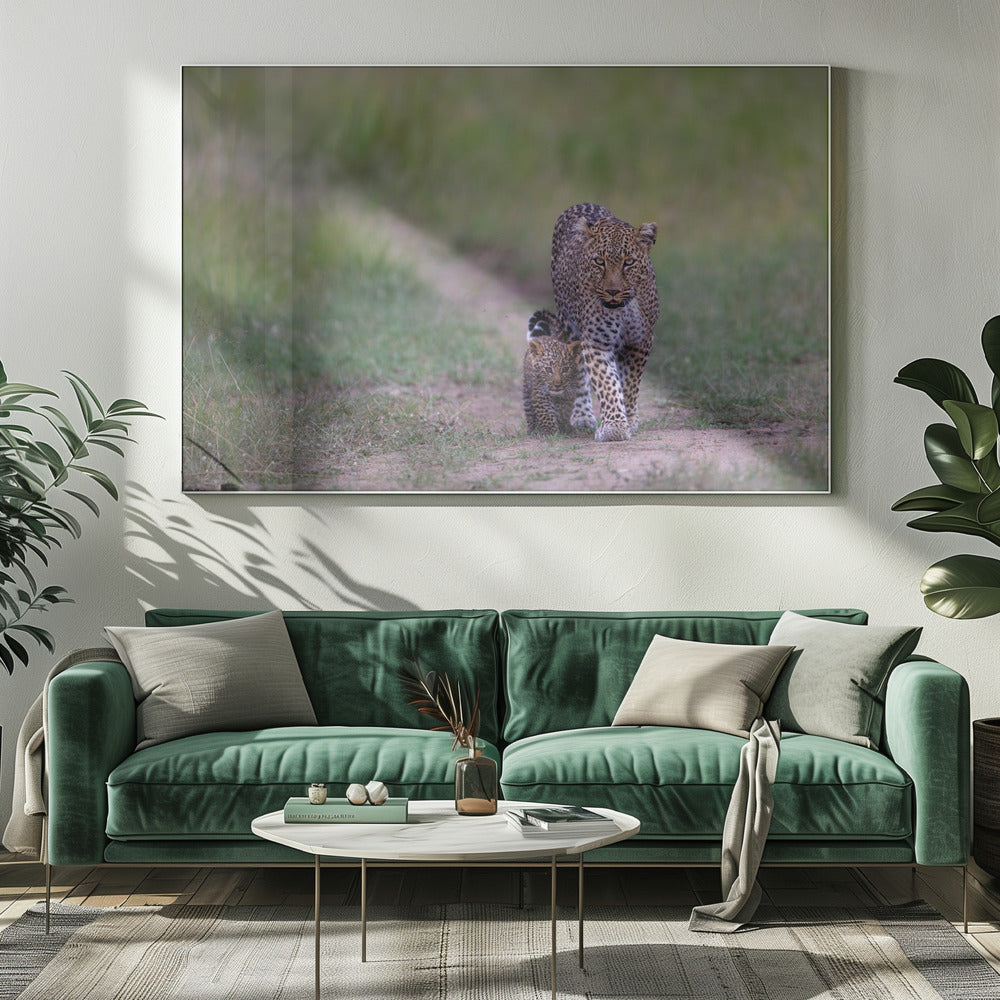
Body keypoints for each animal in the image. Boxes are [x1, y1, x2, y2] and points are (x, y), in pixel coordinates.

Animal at [549, 203, 659, 442]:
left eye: (629, 262)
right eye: (600, 262)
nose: (613, 291)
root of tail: (583, 203)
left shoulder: (640, 341)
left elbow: (629, 385)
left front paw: (628, 419)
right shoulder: (596, 341)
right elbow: (606, 382)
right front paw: (614, 426)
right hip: (567, 327)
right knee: (578, 371)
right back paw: (582, 415)